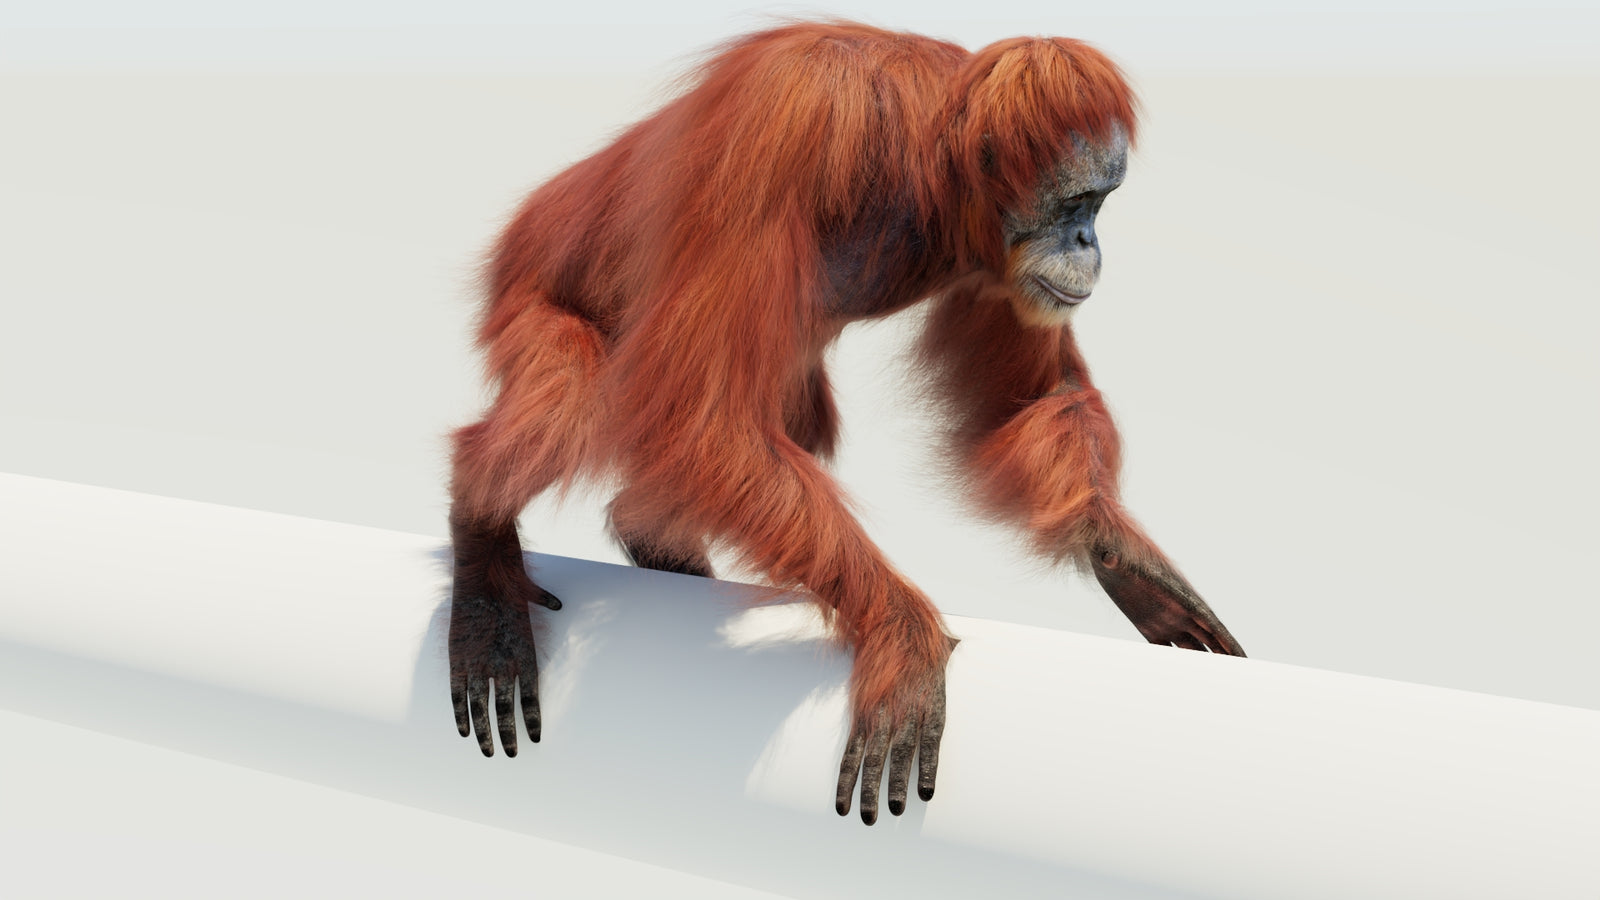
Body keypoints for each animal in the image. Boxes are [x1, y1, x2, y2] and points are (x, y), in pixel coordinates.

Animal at [446, 20, 1245, 826]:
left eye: (1101, 204)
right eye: (1076, 202)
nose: (1089, 242)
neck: (927, 164)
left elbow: (1025, 403)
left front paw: (1125, 558)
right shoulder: (791, 121)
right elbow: (706, 417)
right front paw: (902, 634)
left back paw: (650, 537)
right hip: (529, 290)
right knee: (575, 398)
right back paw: (482, 546)